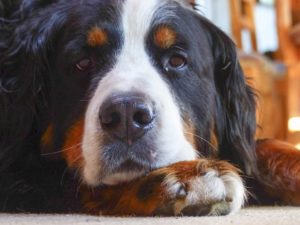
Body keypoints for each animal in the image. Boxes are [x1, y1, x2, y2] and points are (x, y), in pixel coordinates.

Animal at [0, 0, 300, 216]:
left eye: (177, 61)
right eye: (83, 63)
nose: (126, 115)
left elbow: (260, 149)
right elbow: (75, 182)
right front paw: (185, 175)